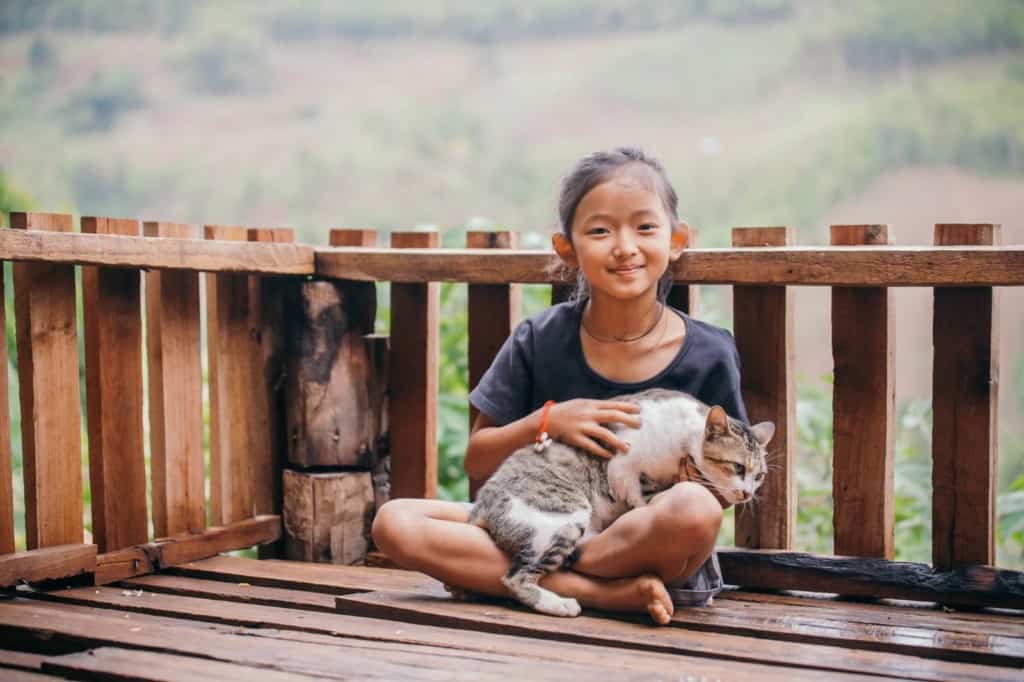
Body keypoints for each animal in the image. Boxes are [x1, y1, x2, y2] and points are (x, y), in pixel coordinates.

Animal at [468, 387, 770, 614]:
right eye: (738, 468)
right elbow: (639, 494)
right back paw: (560, 604)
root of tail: (482, 503)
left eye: (759, 476)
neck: (681, 442)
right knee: (515, 577)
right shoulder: (624, 463)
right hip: (566, 516)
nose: (747, 494)